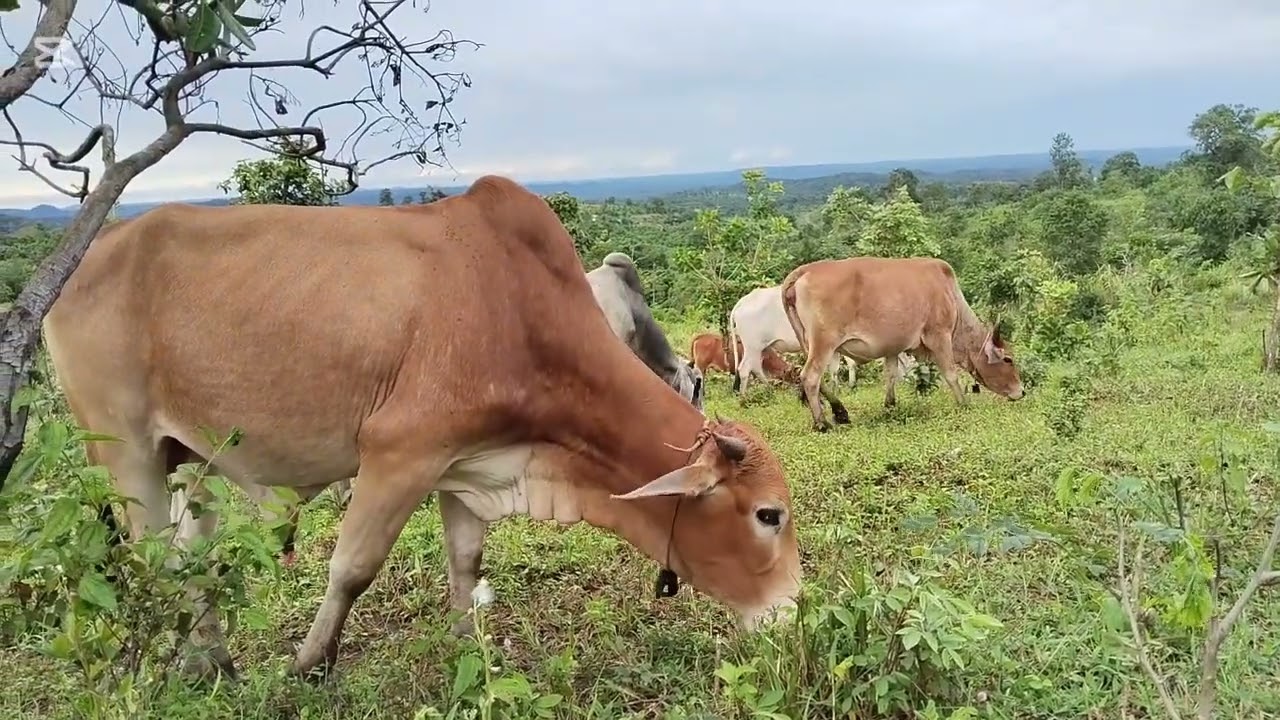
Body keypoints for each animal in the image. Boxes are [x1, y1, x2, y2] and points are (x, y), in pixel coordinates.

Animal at [726, 285, 915, 416]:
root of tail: (742, 302)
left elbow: (835, 370)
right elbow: (847, 365)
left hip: (761, 348)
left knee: (756, 368)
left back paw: (767, 390)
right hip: (752, 346)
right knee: (744, 369)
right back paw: (744, 398)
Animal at [779, 256, 1024, 431]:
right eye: (1008, 359)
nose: (1021, 391)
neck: (951, 296)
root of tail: (805, 271)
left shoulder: (892, 347)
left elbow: (890, 375)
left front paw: (890, 406)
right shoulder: (939, 335)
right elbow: (951, 374)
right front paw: (964, 403)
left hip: (808, 342)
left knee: (813, 378)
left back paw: (840, 412)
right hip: (824, 342)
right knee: (810, 377)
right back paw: (822, 422)